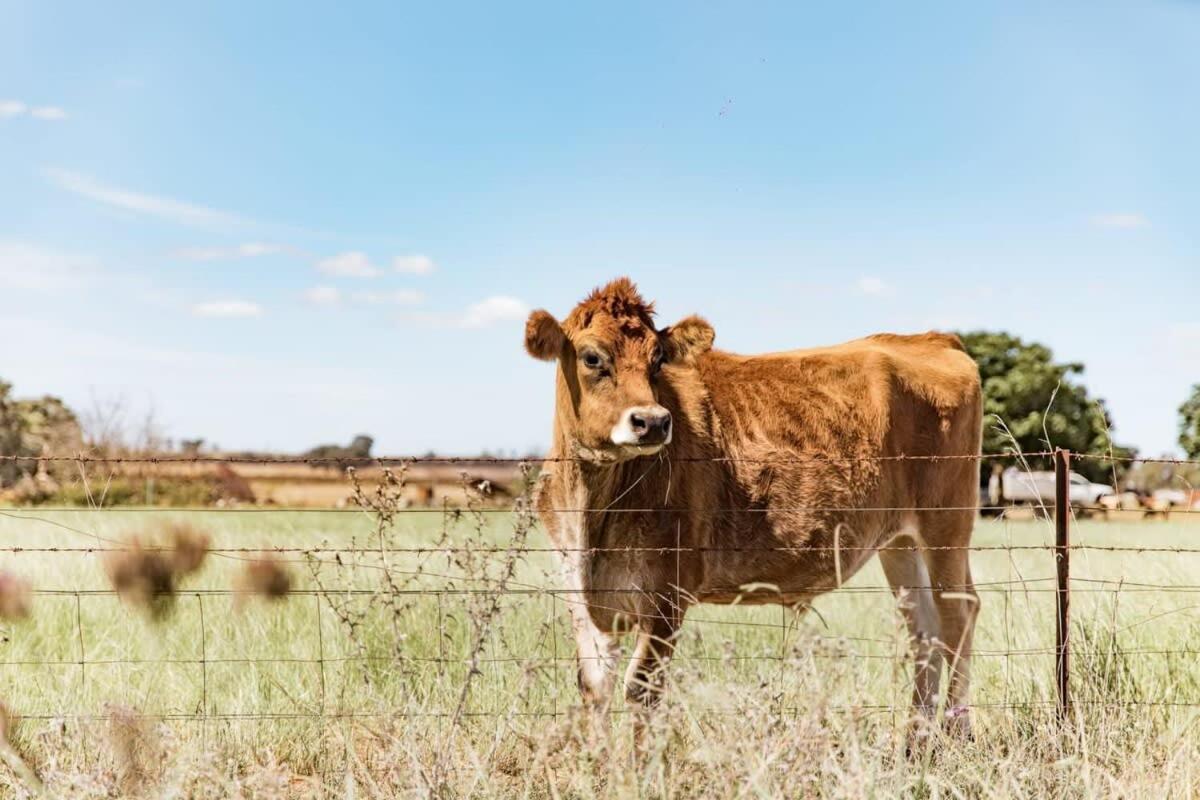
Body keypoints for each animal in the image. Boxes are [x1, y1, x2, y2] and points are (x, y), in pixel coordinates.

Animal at [525, 277, 984, 738]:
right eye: (592, 357)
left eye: (658, 360)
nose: (652, 421)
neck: (592, 510)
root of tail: (929, 338)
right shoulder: (578, 594)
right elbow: (594, 688)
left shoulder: (668, 595)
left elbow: (641, 691)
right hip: (900, 540)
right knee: (923, 627)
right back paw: (916, 739)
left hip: (946, 525)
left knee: (957, 616)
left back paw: (956, 732)